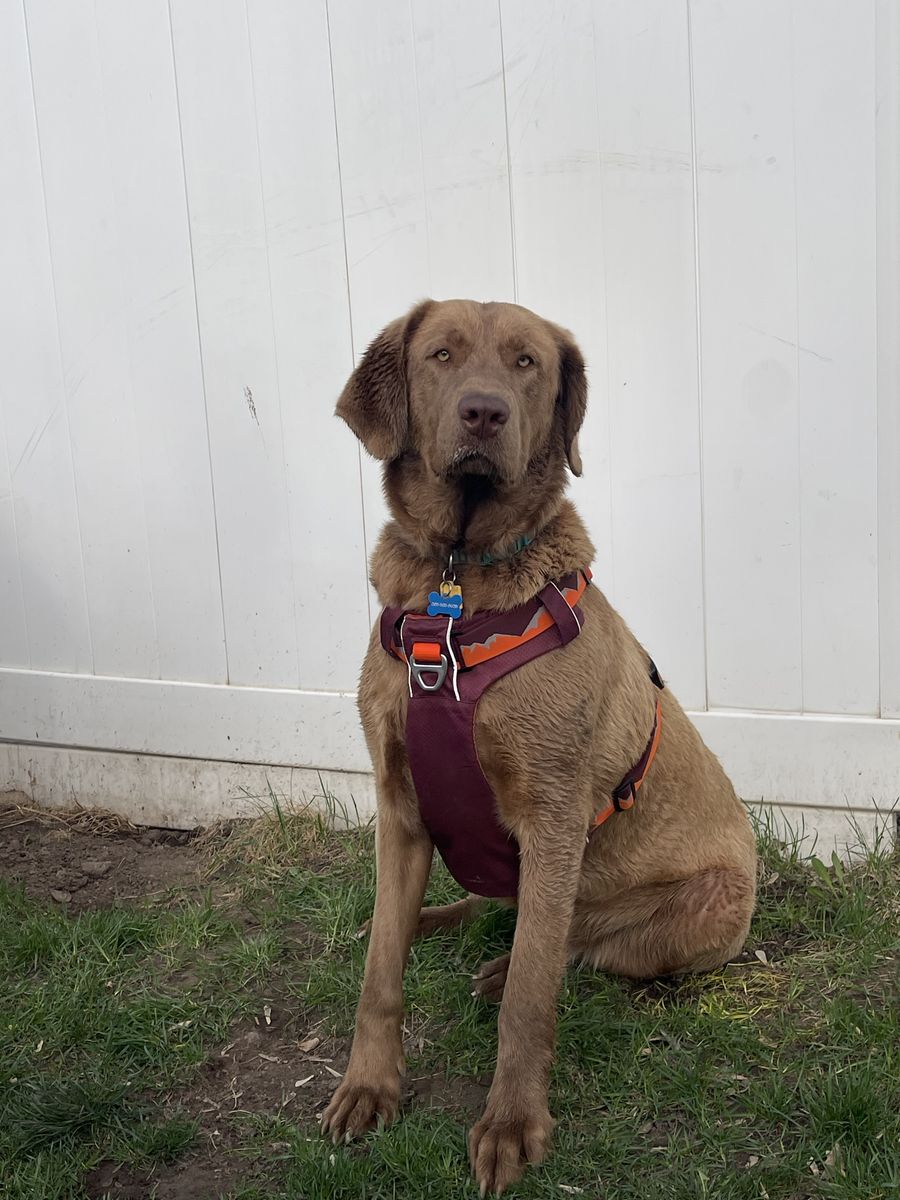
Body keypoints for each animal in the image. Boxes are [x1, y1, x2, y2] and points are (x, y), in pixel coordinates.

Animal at [322, 299, 757, 1195]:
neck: (455, 594)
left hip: (702, 905)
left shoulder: (552, 818)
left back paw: (502, 967)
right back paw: (434, 922)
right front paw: (368, 1086)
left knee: (577, 946)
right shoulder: (399, 807)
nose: (483, 412)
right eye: (441, 355)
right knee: (492, 911)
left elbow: (532, 992)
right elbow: (380, 972)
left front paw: (512, 1124)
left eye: (527, 363)